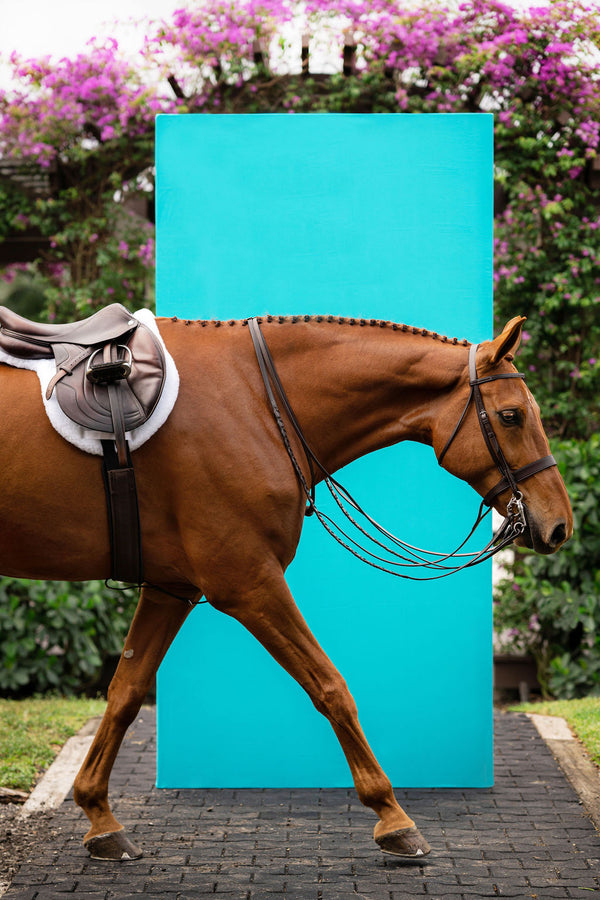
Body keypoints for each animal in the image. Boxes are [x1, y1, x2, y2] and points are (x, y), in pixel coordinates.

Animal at [0, 311, 572, 862]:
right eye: (511, 416)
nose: (559, 525)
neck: (256, 401)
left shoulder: (171, 588)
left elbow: (126, 691)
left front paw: (99, 817)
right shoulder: (249, 583)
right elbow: (330, 686)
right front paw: (393, 817)